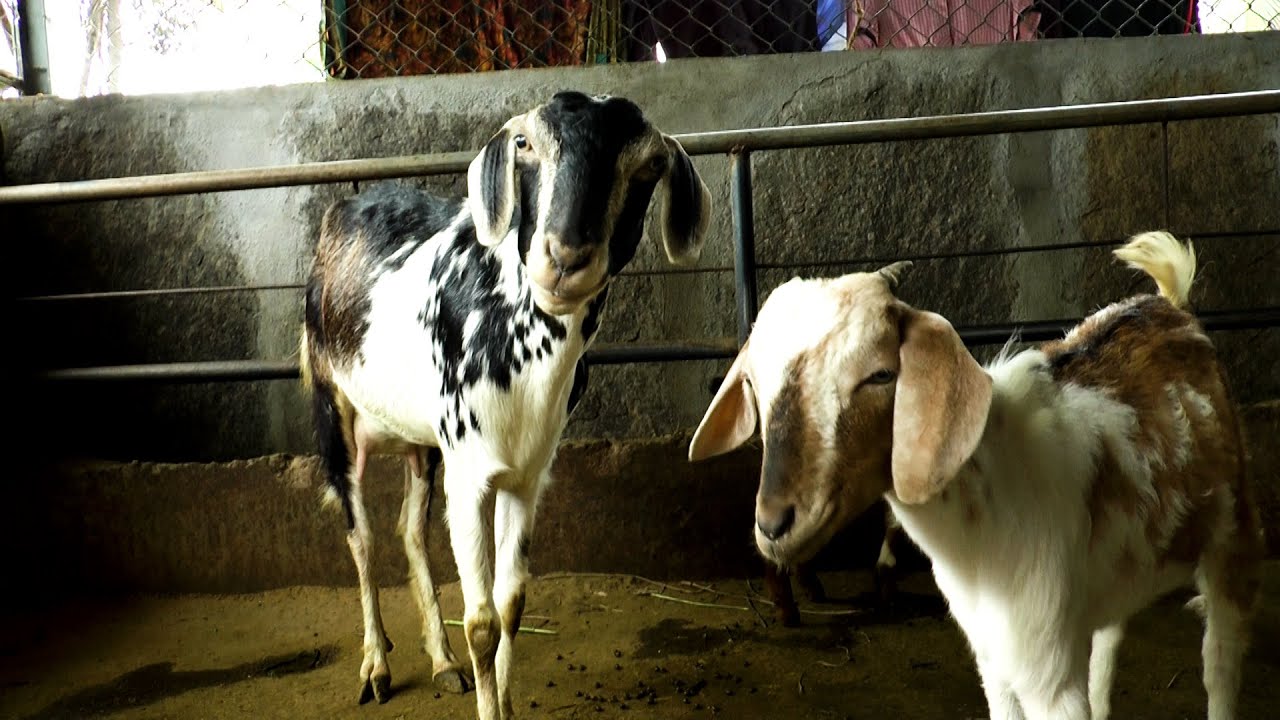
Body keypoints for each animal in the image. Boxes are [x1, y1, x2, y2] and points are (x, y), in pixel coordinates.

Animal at [300, 91, 711, 720]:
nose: (565, 255)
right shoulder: (470, 475)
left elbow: (512, 603)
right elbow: (480, 622)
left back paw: (442, 662)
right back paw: (376, 666)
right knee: (360, 533)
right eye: (525, 145)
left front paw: (504, 698)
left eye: (648, 167)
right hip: (333, 404)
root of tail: (339, 213)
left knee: (409, 529)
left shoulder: (527, 473)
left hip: (425, 442)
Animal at [689, 231, 1263, 720]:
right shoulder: (996, 661)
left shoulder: (1048, 674)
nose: (774, 524)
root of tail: (1171, 305)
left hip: (1234, 535)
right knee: (1108, 644)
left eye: (880, 374)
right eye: (753, 384)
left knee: (1221, 662)